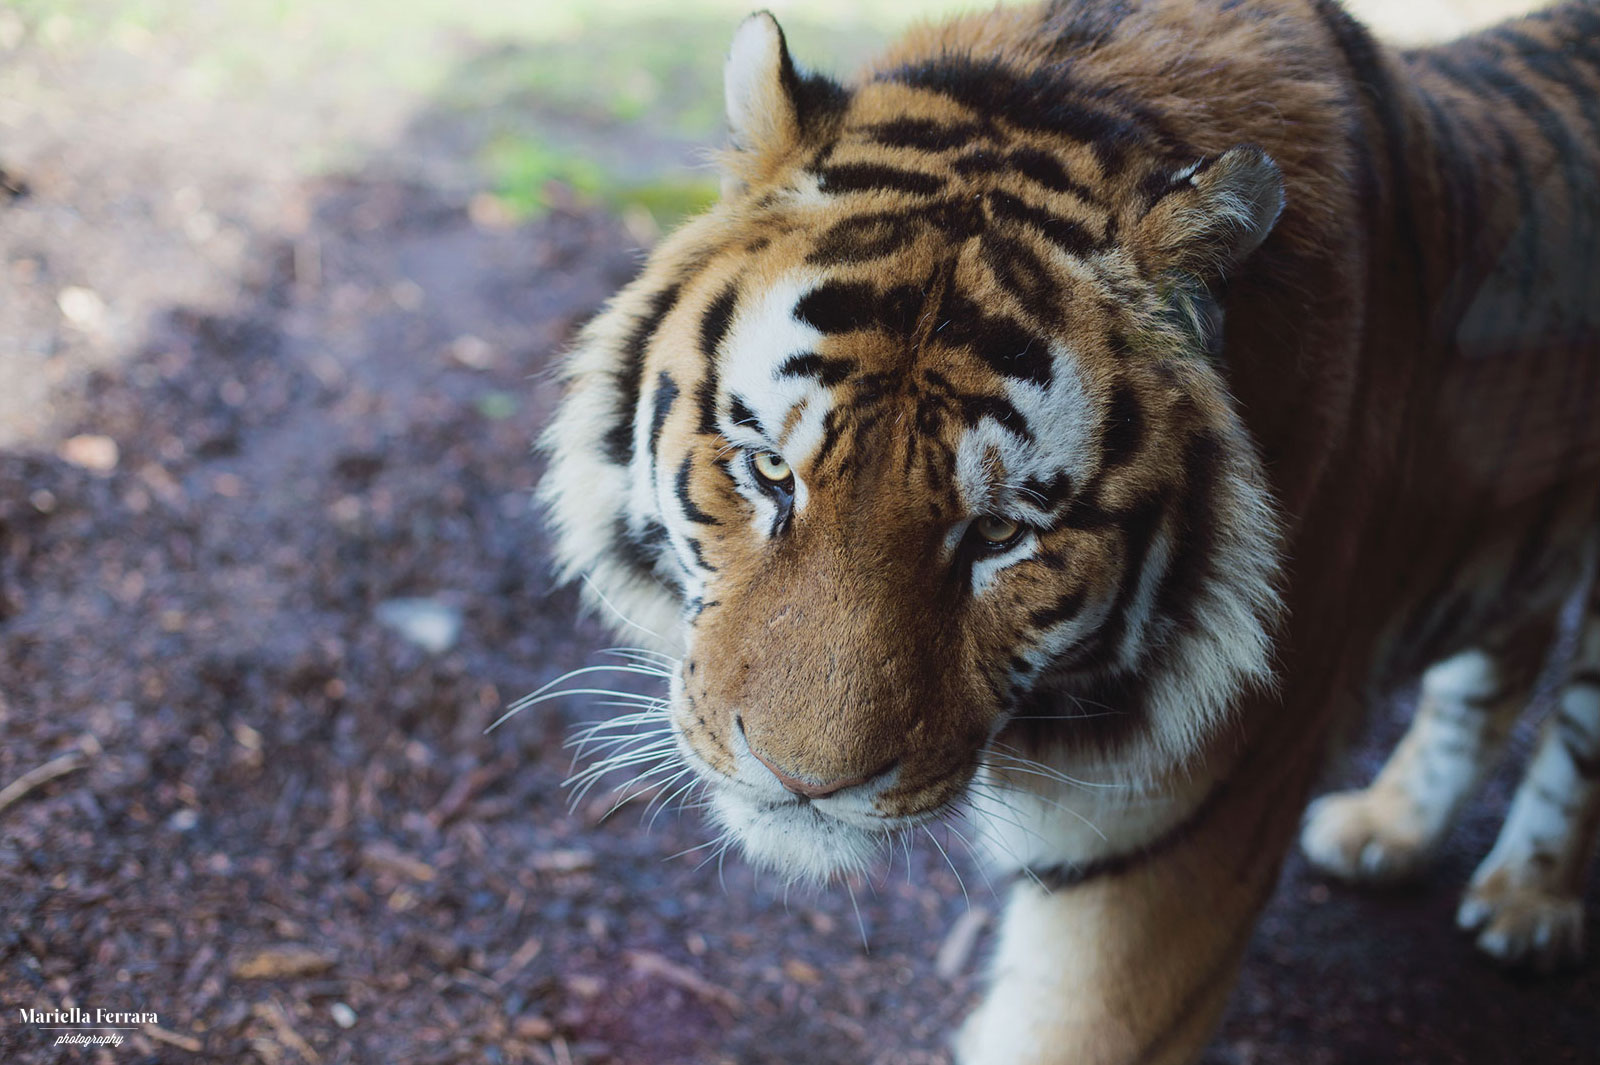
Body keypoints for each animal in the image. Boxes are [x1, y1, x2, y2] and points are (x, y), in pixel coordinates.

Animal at [536, 0, 1600, 1061]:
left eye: (999, 532)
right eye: (768, 470)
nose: (801, 782)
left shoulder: (1168, 853)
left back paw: (1528, 902)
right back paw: (1392, 829)